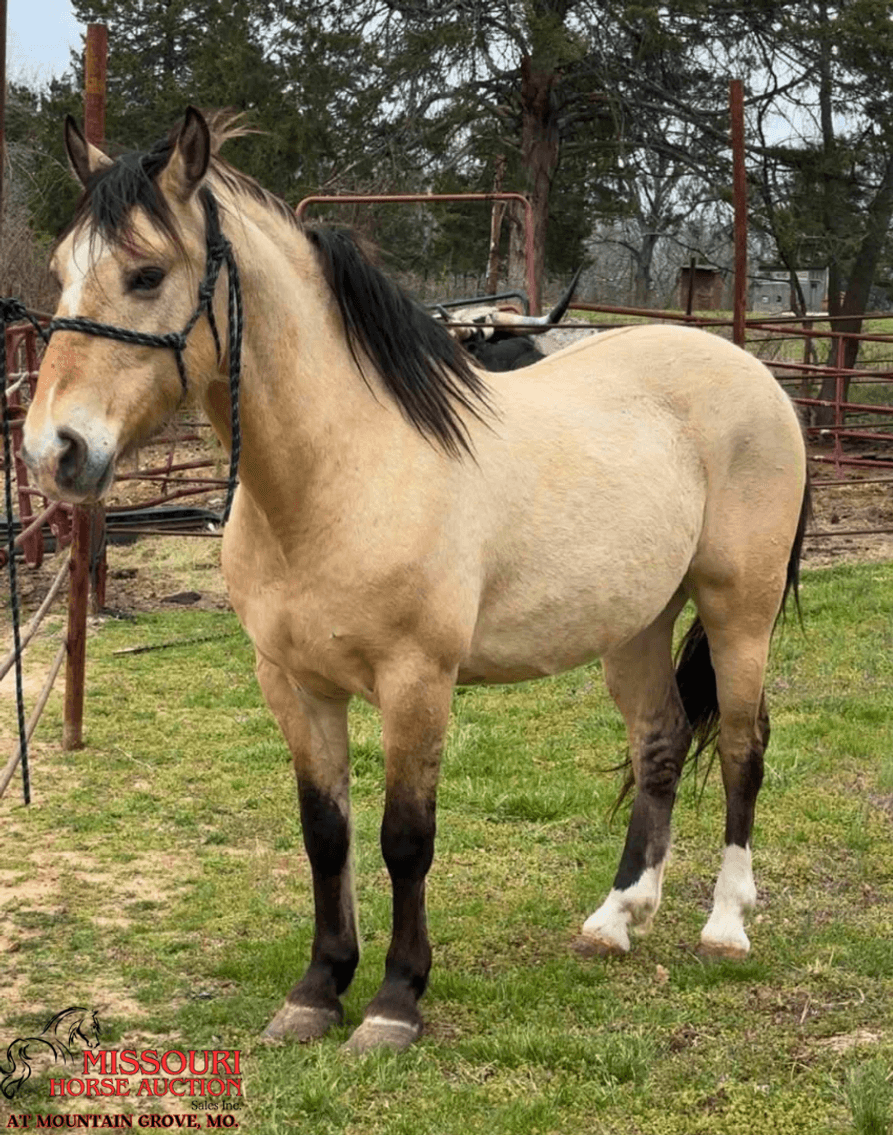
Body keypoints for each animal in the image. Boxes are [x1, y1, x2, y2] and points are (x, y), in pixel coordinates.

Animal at [22, 108, 809, 1056]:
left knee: (739, 745)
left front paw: (394, 1001)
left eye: (145, 274)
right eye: (61, 271)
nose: (53, 451)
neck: (343, 471)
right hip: (636, 625)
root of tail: (751, 371)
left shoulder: (416, 682)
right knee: (659, 741)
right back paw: (617, 917)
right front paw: (317, 990)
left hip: (738, 612)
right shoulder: (292, 684)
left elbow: (405, 838)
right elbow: (325, 833)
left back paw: (724, 925)